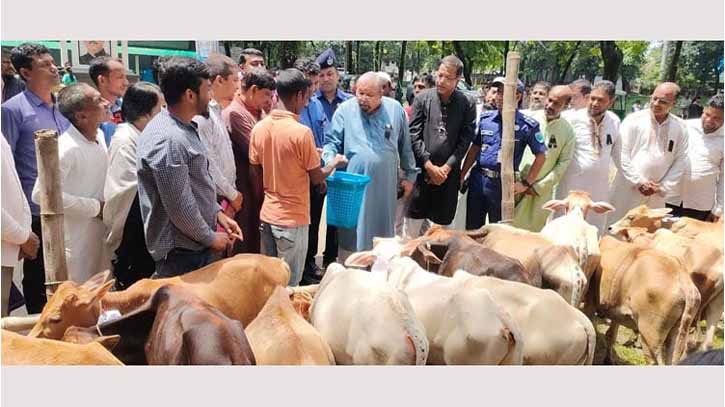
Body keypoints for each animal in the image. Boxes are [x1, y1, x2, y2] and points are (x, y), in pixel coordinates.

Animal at [588, 236, 700, 366]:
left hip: (650, 336)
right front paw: (608, 360)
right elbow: (611, 335)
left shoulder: (590, 302)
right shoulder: (616, 313)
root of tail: (684, 280)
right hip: (676, 334)